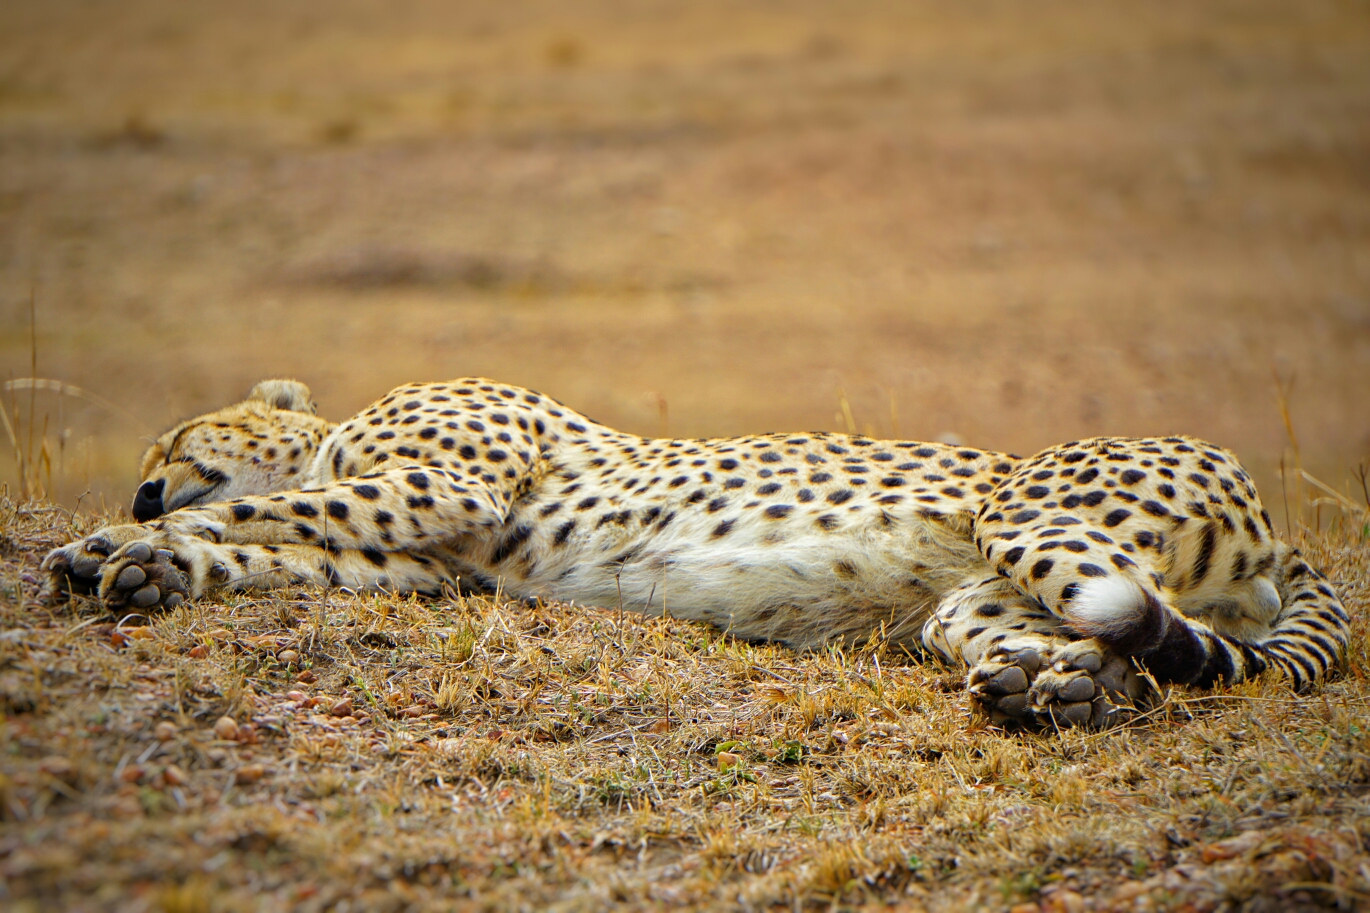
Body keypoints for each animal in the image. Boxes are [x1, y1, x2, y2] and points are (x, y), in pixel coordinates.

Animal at [40, 375, 1348, 723]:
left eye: (174, 436)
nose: (143, 475)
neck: (327, 431)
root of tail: (1275, 531)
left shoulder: (439, 485)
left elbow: (256, 513)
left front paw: (131, 533)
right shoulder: (419, 559)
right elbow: (279, 547)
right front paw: (140, 563)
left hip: (1031, 519)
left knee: (1135, 630)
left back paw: (1066, 686)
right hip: (972, 598)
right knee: (1114, 650)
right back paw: (1055, 686)